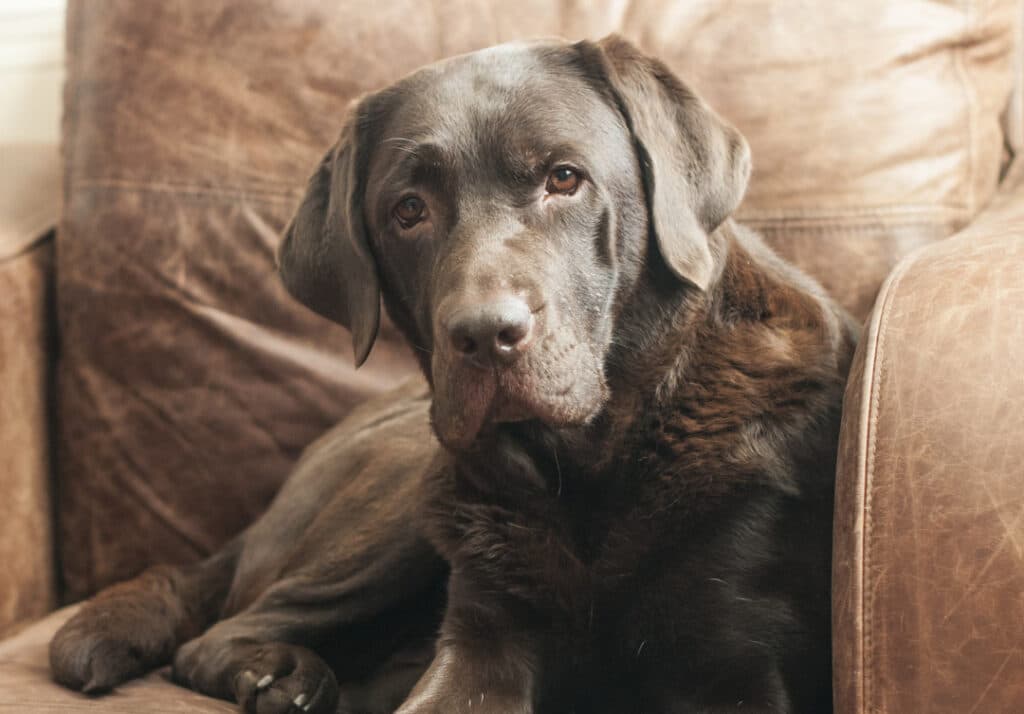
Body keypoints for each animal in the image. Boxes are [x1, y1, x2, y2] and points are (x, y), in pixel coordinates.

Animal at [51, 34, 860, 712]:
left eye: (564, 178)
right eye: (408, 210)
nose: (483, 333)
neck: (588, 470)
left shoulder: (733, 659)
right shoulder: (481, 638)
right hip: (406, 502)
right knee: (217, 632)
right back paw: (279, 676)